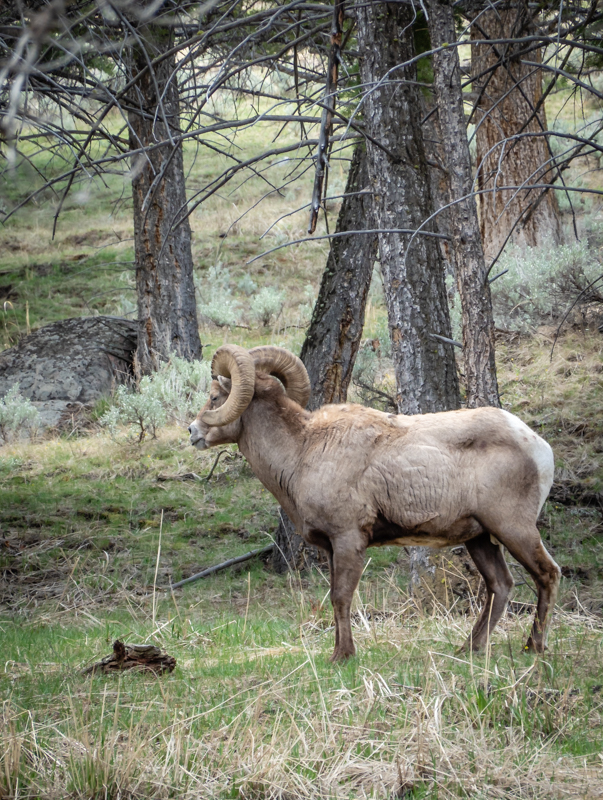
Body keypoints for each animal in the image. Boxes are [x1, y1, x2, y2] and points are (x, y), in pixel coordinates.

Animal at [189, 344, 560, 662]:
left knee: (547, 574)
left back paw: (534, 647)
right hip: (480, 538)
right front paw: (340, 653)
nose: (193, 432)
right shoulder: (331, 547)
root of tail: (538, 445)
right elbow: (336, 597)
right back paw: (470, 648)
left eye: (214, 396)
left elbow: (341, 597)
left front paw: (342, 657)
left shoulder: (348, 539)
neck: (302, 451)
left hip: (514, 529)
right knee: (501, 585)